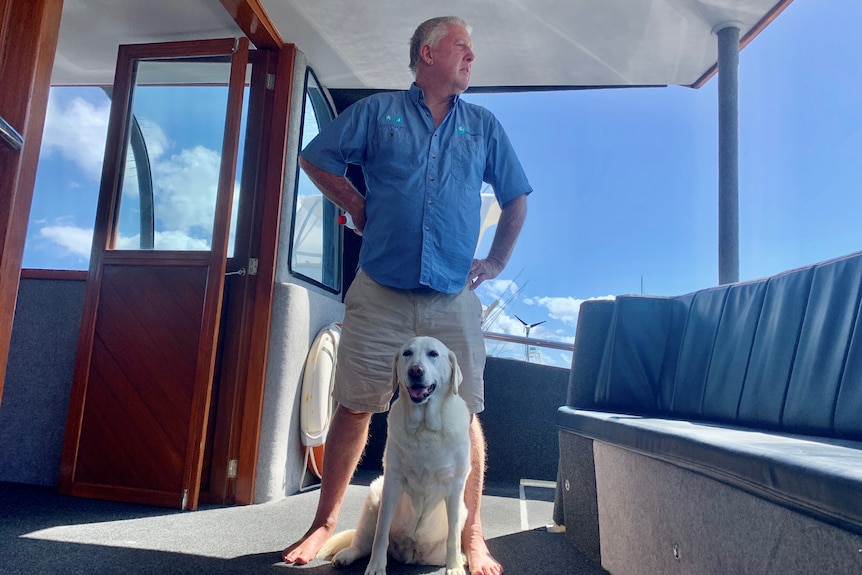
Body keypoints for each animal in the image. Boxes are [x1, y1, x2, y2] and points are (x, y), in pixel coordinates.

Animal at [320, 338, 472, 575]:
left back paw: (462, 559)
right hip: (374, 496)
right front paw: (376, 567)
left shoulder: (455, 487)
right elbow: (381, 534)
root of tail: (410, 554)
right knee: (363, 541)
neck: (424, 427)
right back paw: (346, 555)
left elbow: (454, 536)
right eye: (407, 353)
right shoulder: (392, 482)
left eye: (433, 354)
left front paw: (455, 567)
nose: (415, 370)